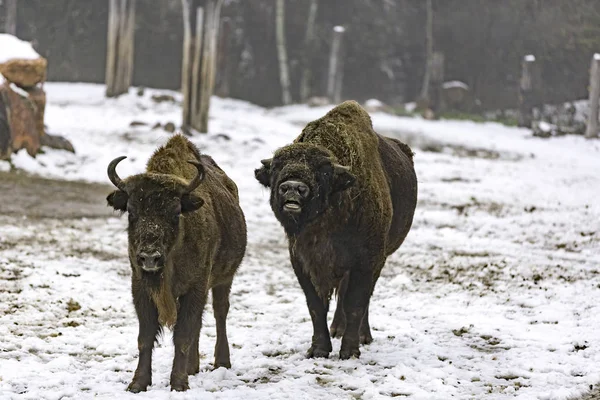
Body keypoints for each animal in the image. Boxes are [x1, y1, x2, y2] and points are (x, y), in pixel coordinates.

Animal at [106, 134, 247, 390]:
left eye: (174, 212)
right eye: (131, 211)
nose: (149, 257)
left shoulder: (196, 287)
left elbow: (183, 335)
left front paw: (179, 383)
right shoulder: (140, 287)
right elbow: (145, 337)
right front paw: (138, 383)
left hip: (225, 278)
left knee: (220, 312)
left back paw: (221, 362)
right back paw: (193, 367)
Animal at [254, 100, 418, 360]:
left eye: (323, 171)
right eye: (277, 167)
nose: (293, 188)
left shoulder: (366, 261)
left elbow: (356, 304)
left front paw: (350, 351)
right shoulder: (302, 262)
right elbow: (316, 306)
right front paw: (318, 349)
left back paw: (362, 336)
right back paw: (337, 330)